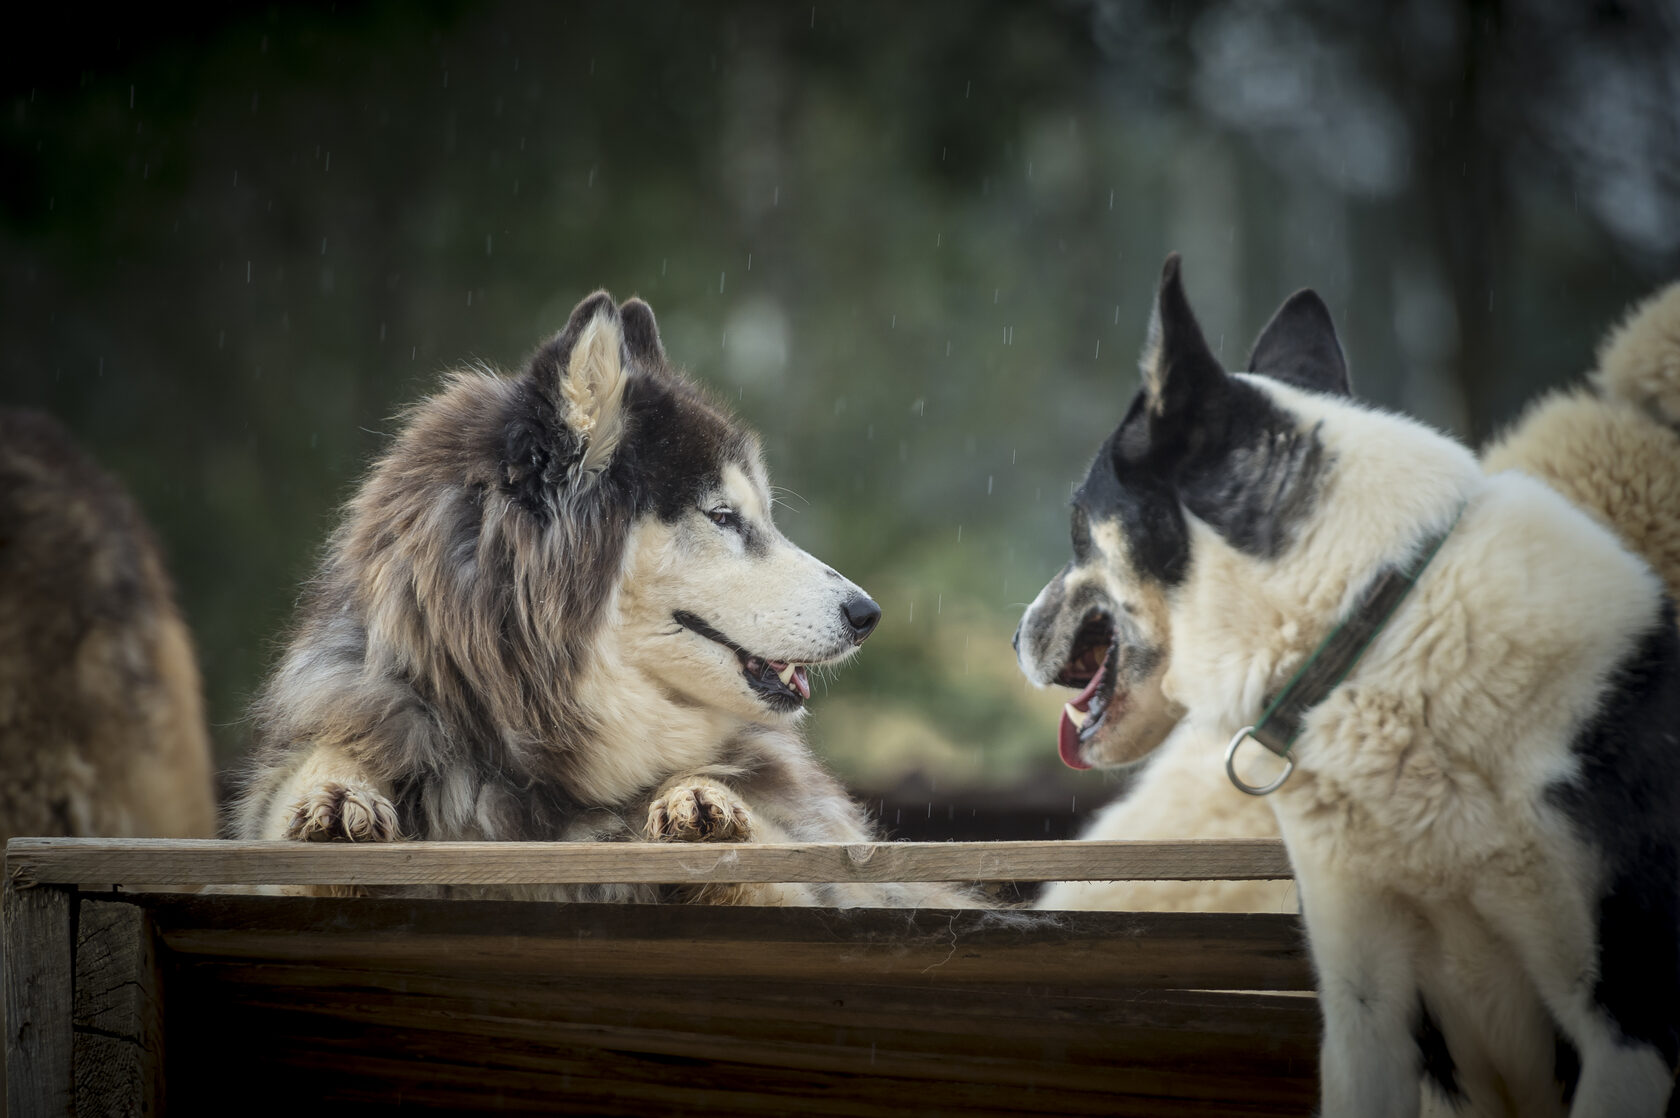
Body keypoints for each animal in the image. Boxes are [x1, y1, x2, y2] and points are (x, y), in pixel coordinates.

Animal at [230, 289, 981, 907]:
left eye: (761, 514)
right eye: (723, 516)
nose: (867, 615)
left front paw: (698, 797)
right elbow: (319, 775)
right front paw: (334, 791)